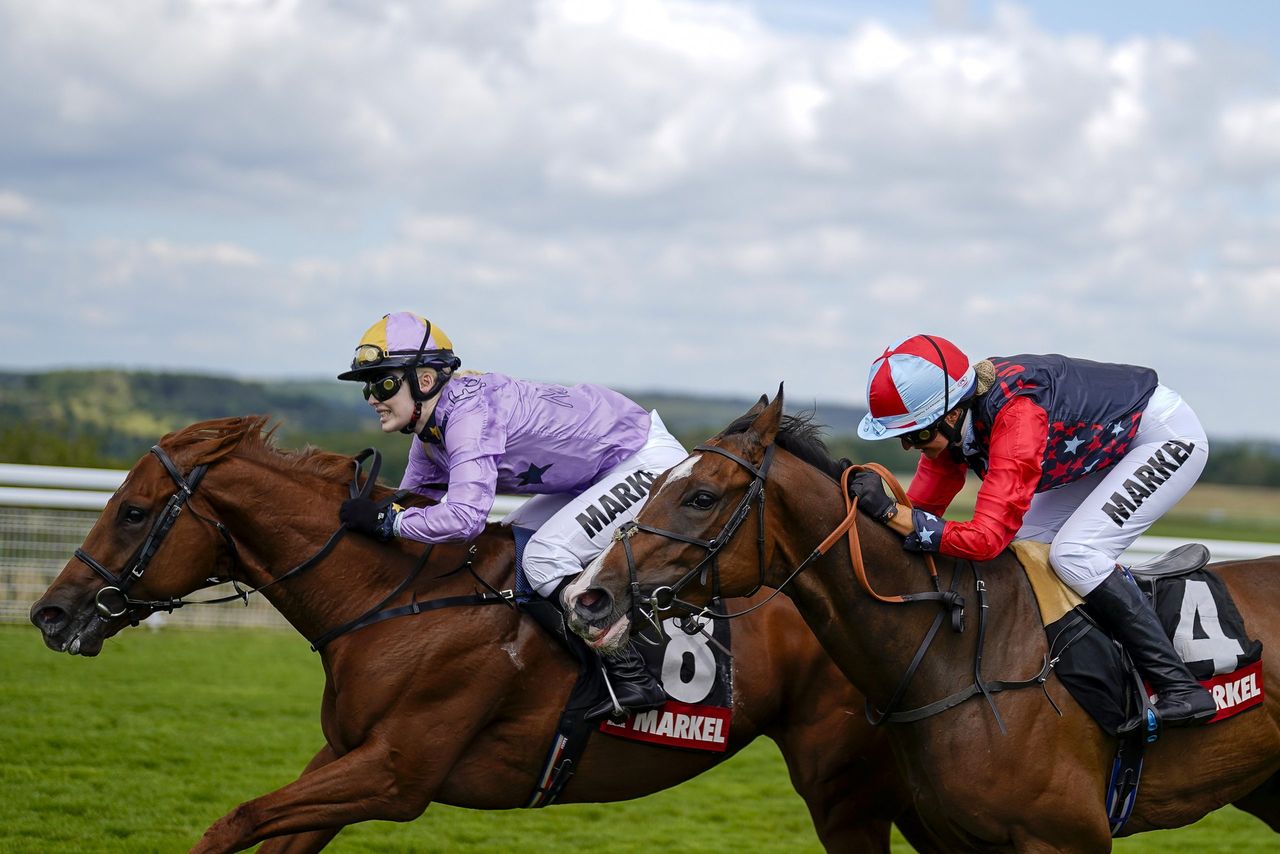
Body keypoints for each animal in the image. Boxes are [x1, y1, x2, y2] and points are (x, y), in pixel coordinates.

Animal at [30, 417, 931, 854]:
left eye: (134, 512)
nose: (50, 613)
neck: (394, 600)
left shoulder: (396, 776)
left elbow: (236, 822)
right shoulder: (345, 756)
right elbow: (269, 830)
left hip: (842, 786)